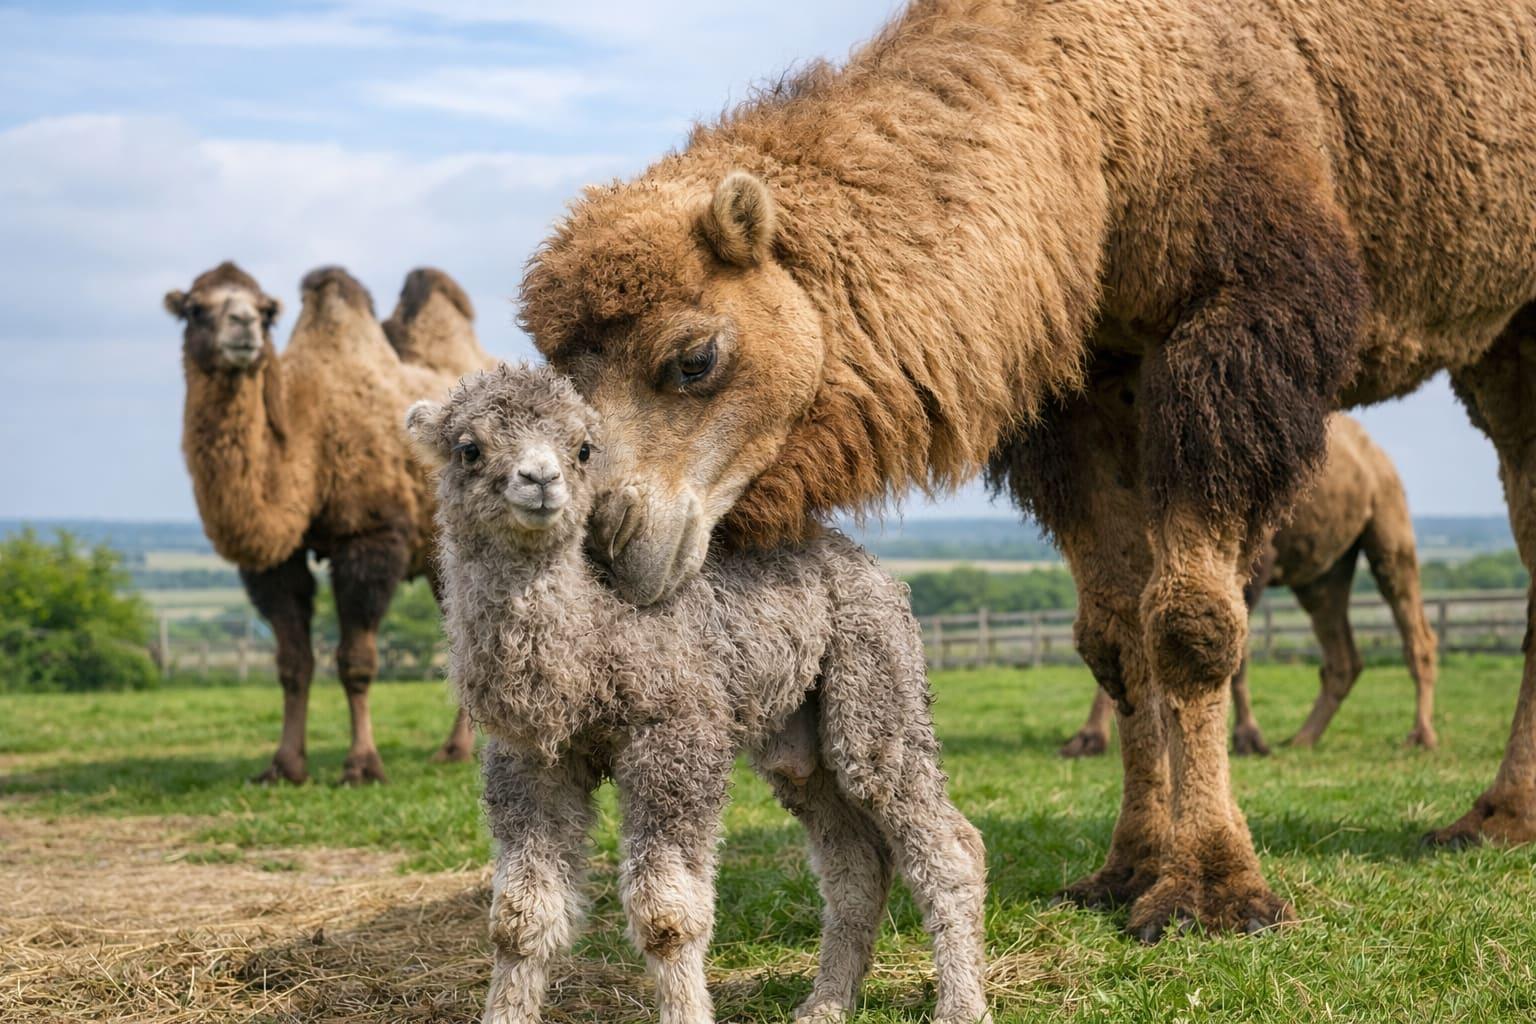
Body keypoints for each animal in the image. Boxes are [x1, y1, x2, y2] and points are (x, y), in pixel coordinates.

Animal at [166, 262, 487, 784]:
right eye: (195, 308)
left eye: (265, 311)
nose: (243, 325)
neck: (308, 437)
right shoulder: (276, 560)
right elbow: (293, 663)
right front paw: (284, 765)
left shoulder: (370, 537)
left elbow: (356, 661)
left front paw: (362, 765)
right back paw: (455, 749)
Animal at [1061, 414, 1438, 759]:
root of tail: (1377, 454)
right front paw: (1087, 739)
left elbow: (1234, 651)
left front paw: (1248, 738)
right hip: (1324, 571)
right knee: (1341, 650)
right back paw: (1303, 738)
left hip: (1389, 517)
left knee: (1411, 620)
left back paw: (1421, 735)